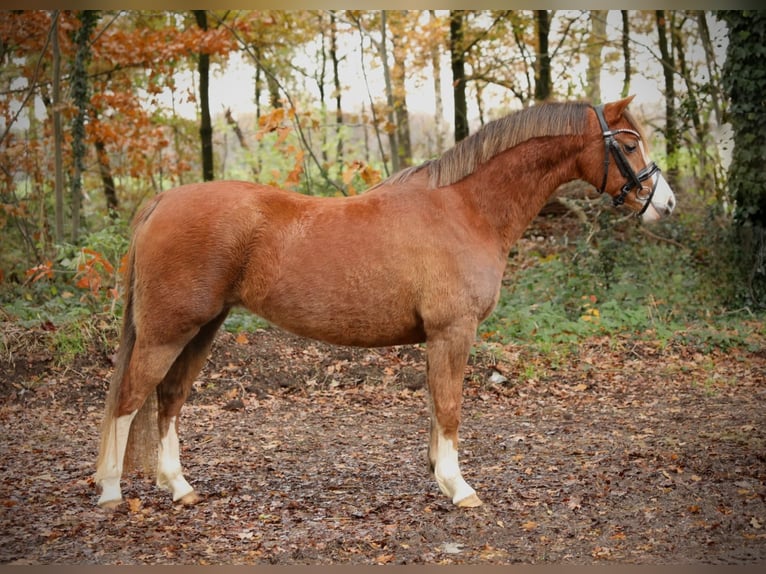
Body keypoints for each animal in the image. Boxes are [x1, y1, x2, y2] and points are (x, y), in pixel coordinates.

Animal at [96, 97, 680, 510]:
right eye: (630, 146)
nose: (666, 204)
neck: (466, 207)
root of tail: (163, 200)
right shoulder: (453, 331)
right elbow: (450, 406)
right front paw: (460, 488)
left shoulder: (438, 338)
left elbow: (435, 408)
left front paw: (439, 477)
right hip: (168, 330)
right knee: (128, 399)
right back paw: (111, 493)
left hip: (202, 327)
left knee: (168, 399)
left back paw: (178, 486)